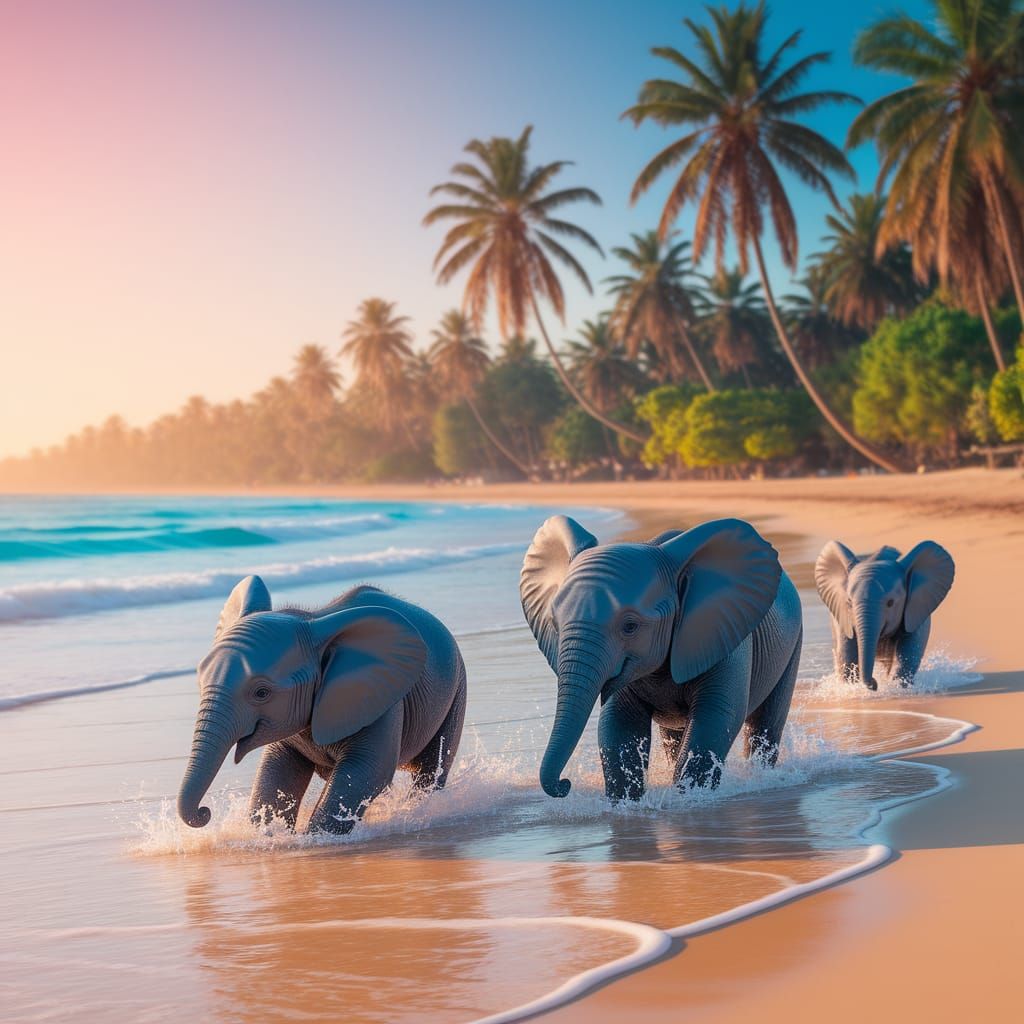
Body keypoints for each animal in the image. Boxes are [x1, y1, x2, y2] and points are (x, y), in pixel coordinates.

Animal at [177, 576, 467, 834]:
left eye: (261, 693)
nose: (205, 812)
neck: (311, 620)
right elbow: (276, 770)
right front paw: (272, 835)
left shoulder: (380, 701)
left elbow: (366, 770)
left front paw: (314, 839)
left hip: (457, 686)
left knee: (430, 767)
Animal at [520, 515, 803, 800]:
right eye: (555, 625)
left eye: (630, 626)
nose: (565, 784)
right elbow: (618, 724)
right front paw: (627, 803)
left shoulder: (725, 639)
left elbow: (716, 717)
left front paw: (688, 798)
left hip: (794, 642)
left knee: (764, 725)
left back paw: (760, 776)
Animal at [814, 539, 955, 690]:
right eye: (849, 603)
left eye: (890, 603)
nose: (875, 683)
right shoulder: (841, 617)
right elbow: (847, 657)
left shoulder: (916, 611)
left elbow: (908, 655)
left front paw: (896, 687)